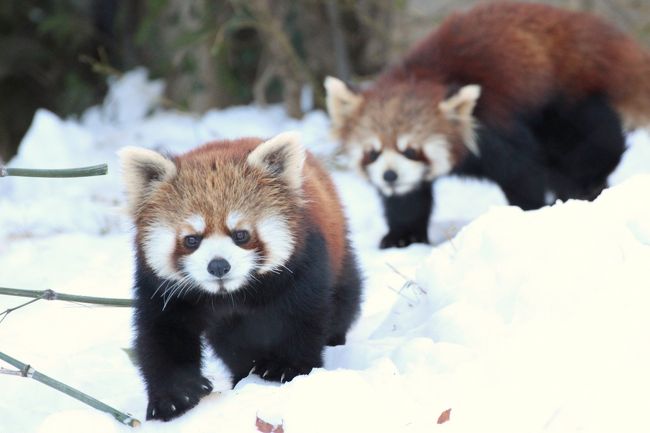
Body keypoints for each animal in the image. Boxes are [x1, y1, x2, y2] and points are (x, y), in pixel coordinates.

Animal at [116, 132, 360, 418]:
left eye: (240, 235)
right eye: (191, 240)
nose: (218, 266)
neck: (230, 296)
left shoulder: (303, 268)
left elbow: (301, 320)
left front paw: (286, 367)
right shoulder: (160, 287)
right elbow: (162, 335)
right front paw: (174, 396)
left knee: (345, 301)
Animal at [324, 1, 648, 248]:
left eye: (411, 150)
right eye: (373, 152)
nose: (390, 175)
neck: (421, 76)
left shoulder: (496, 127)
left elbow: (522, 172)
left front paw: (529, 212)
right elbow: (408, 200)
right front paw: (403, 237)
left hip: (567, 100)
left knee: (594, 146)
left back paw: (586, 186)